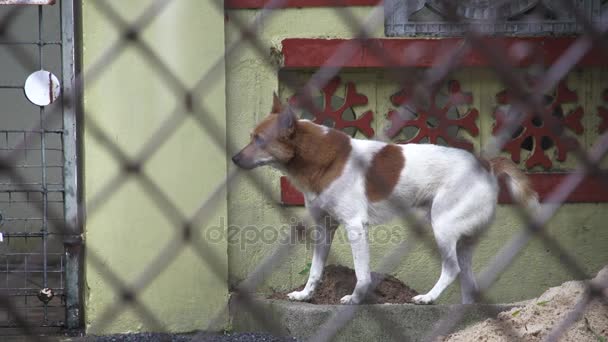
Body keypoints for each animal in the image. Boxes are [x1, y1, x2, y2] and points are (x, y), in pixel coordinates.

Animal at [232, 93, 536, 304]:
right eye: (251, 137)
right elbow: (316, 270)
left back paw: (428, 298)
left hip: (443, 227)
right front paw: (305, 295)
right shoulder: (324, 228)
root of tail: (486, 164)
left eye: (259, 140)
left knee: (452, 270)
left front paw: (355, 299)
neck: (321, 158)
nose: (234, 158)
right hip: (463, 239)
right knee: (467, 281)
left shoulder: (355, 226)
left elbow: (362, 273)